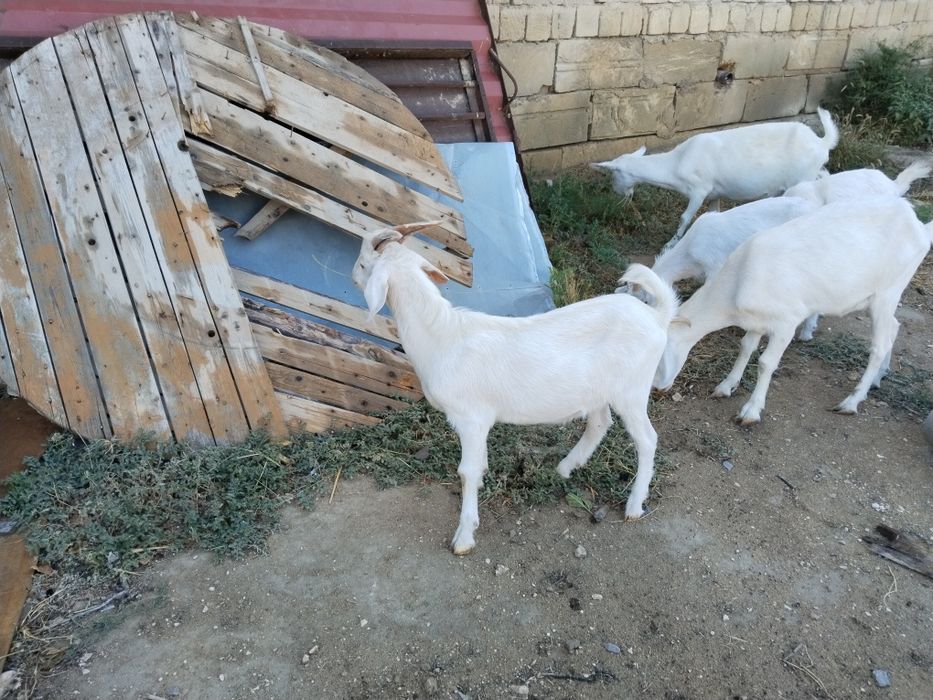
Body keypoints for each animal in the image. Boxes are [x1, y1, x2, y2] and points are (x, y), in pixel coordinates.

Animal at [352, 222, 678, 554]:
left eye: (364, 264)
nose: (353, 277)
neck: (442, 336)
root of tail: (657, 316)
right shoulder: (478, 423)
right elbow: (478, 465)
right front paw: (482, 484)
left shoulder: (470, 418)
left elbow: (466, 472)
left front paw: (464, 537)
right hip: (598, 390)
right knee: (600, 422)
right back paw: (565, 468)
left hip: (632, 390)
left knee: (647, 439)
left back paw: (634, 505)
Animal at [592, 108, 839, 246]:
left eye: (612, 175)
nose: (617, 194)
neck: (676, 163)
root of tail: (821, 142)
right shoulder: (714, 194)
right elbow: (713, 215)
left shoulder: (699, 189)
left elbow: (684, 217)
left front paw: (670, 244)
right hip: (811, 172)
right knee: (825, 176)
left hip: (801, 177)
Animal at [653, 197, 932, 424]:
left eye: (661, 353)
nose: (656, 387)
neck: (737, 282)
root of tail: (918, 225)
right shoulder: (757, 321)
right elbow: (745, 347)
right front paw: (726, 386)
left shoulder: (786, 322)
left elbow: (766, 363)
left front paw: (751, 411)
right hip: (880, 298)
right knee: (894, 328)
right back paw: (877, 379)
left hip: (888, 291)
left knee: (879, 344)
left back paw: (851, 402)